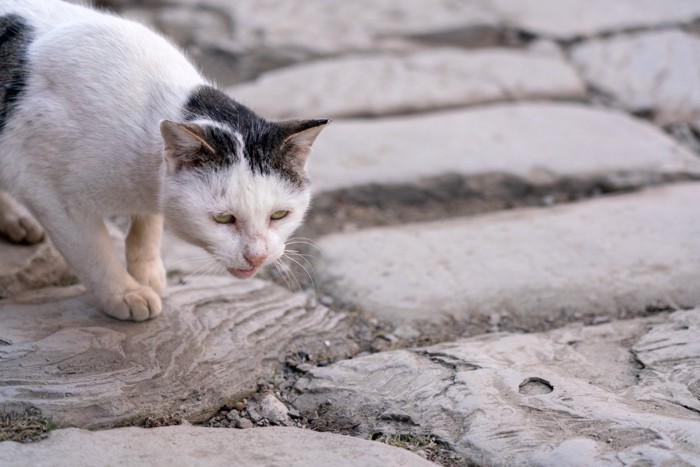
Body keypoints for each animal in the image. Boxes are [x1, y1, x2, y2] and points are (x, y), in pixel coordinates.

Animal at [0, 0, 328, 322]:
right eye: (223, 219)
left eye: (279, 215)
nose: (256, 256)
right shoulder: (53, 199)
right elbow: (94, 254)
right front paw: (125, 293)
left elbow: (148, 226)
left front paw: (147, 272)